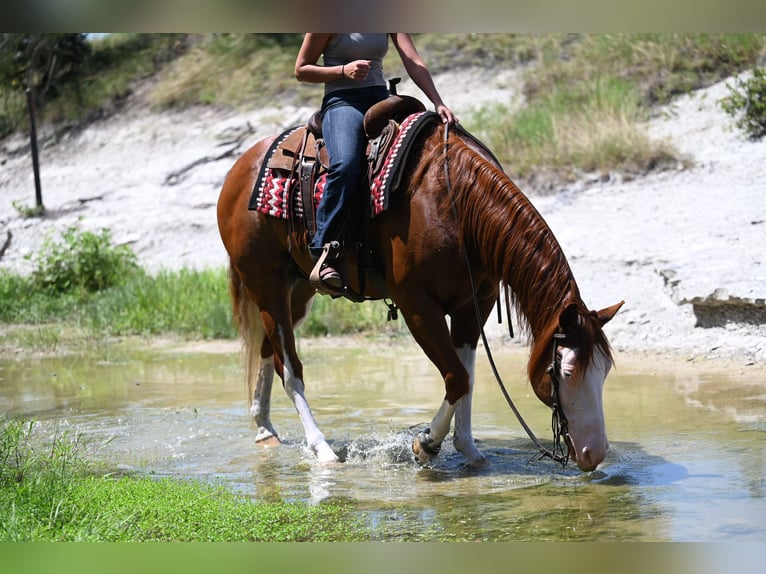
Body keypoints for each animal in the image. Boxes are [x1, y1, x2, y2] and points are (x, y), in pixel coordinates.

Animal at [216, 115, 624, 472]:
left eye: (605, 371)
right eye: (565, 372)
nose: (593, 453)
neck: (456, 206)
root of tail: (243, 166)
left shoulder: (473, 305)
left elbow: (466, 378)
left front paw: (468, 448)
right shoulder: (417, 305)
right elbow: (457, 377)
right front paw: (425, 444)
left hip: (298, 290)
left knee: (268, 350)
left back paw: (265, 430)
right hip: (266, 284)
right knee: (290, 367)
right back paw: (323, 450)